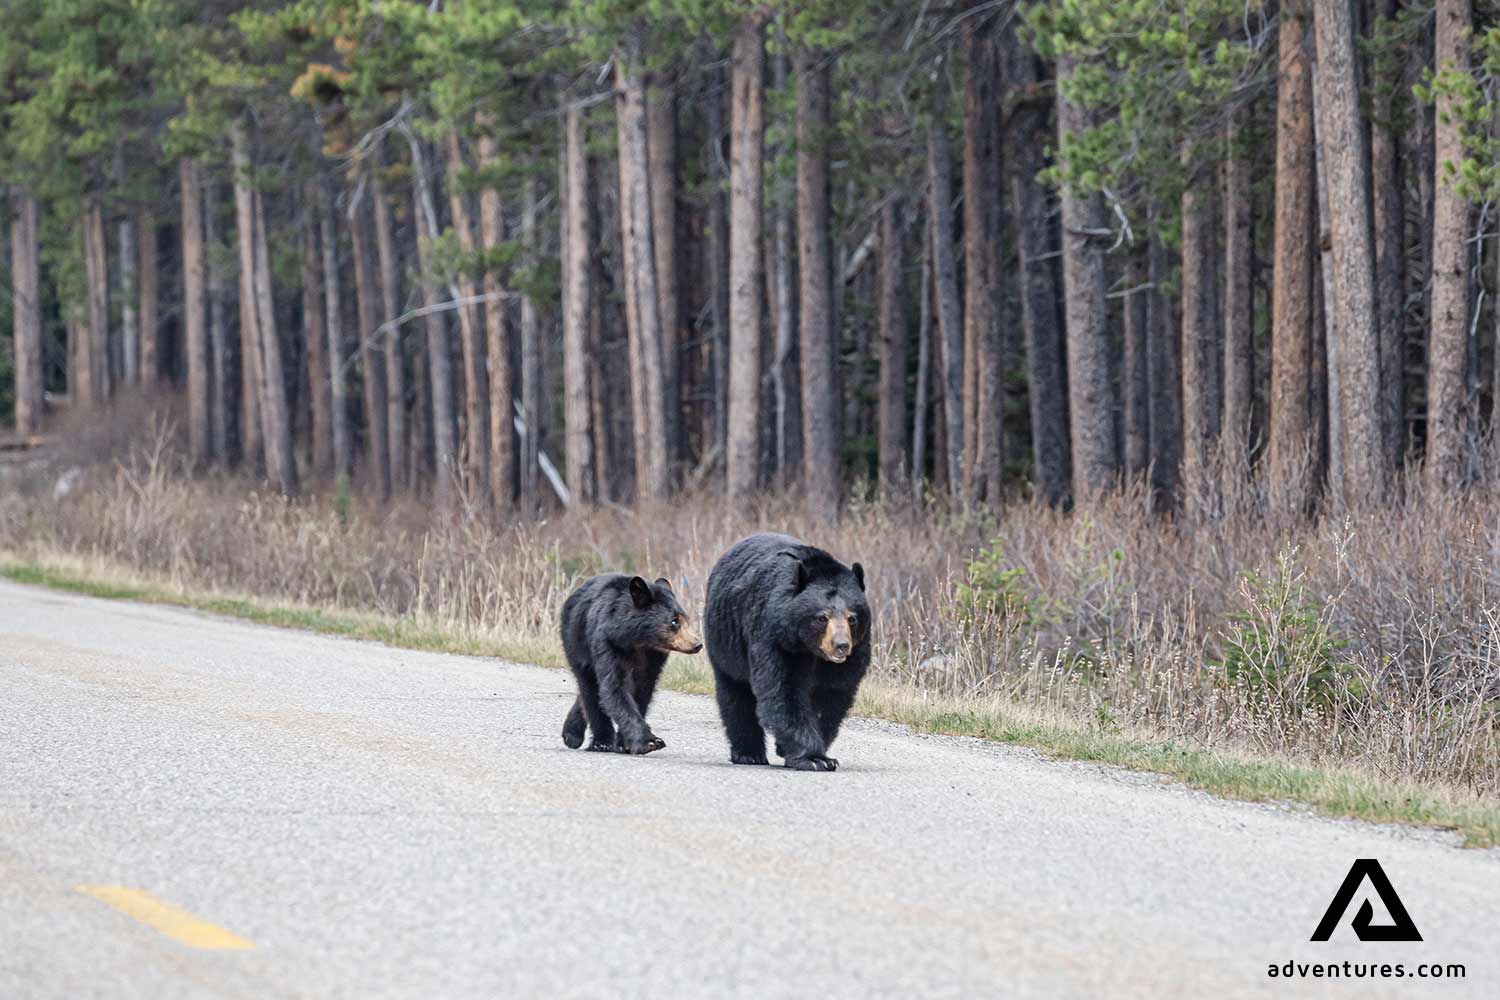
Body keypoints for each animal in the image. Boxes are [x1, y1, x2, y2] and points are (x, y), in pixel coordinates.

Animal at [559, 574, 703, 755]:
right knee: (589, 689)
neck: (637, 641)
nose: (698, 644)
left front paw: (625, 744)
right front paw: (649, 742)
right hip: (576, 643)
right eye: (674, 621)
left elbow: (643, 690)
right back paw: (599, 741)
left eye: (687, 620)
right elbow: (614, 688)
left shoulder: (653, 657)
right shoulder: (607, 642)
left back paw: (571, 733)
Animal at [703, 533, 869, 771]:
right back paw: (749, 754)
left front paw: (806, 751)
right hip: (724, 642)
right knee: (735, 695)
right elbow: (784, 690)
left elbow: (830, 697)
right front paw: (814, 758)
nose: (841, 645)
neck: (811, 649)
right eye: (822, 617)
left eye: (852, 618)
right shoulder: (776, 638)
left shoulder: (852, 657)